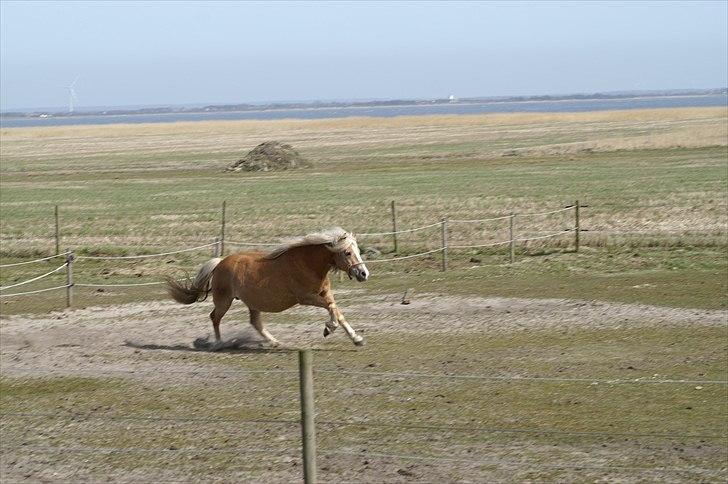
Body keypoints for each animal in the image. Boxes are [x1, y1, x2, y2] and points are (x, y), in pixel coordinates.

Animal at [166, 228, 370, 346]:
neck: (307, 263)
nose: (363, 274)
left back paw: (274, 342)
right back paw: (219, 343)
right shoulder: (306, 297)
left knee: (255, 322)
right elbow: (332, 309)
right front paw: (329, 328)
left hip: (253, 303)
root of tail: (220, 263)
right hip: (224, 301)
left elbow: (337, 311)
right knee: (215, 318)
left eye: (358, 251)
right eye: (347, 252)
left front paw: (356, 339)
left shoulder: (325, 293)